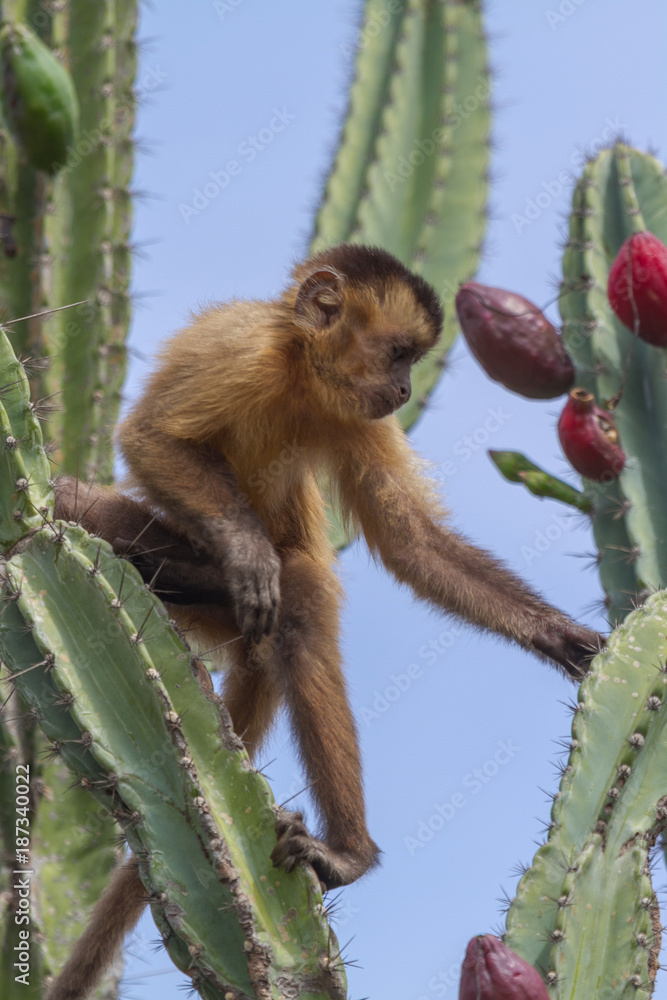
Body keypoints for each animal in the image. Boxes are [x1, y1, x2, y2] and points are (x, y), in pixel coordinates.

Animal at [44, 244, 604, 1000]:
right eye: (398, 355)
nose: (404, 388)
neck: (299, 372)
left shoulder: (359, 415)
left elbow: (411, 546)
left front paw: (557, 636)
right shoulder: (242, 348)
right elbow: (151, 436)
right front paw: (247, 549)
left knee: (303, 598)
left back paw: (346, 854)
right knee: (78, 508)